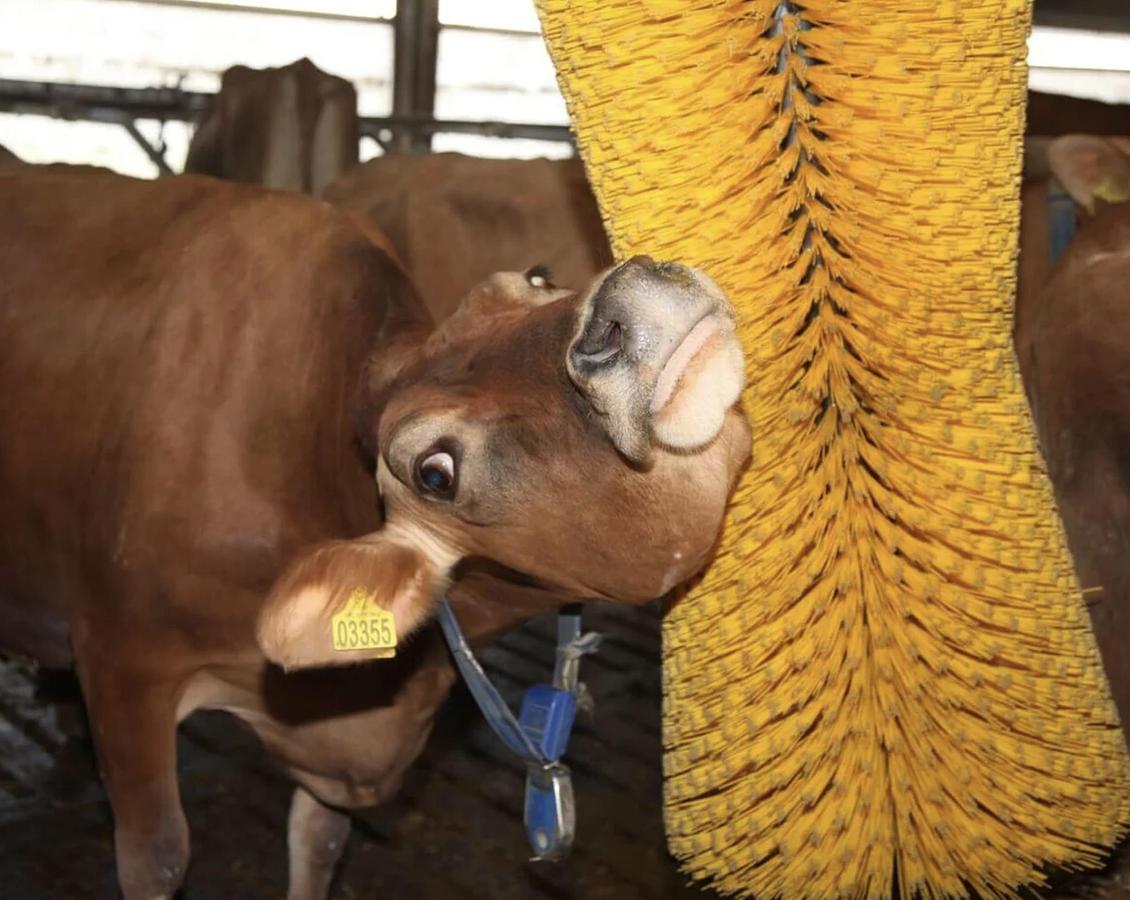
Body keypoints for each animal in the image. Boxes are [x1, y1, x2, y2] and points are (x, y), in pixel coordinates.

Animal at [0, 162, 750, 899]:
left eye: (538, 277)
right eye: (435, 472)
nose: (627, 301)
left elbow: (319, 842)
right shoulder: (120, 661)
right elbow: (157, 860)